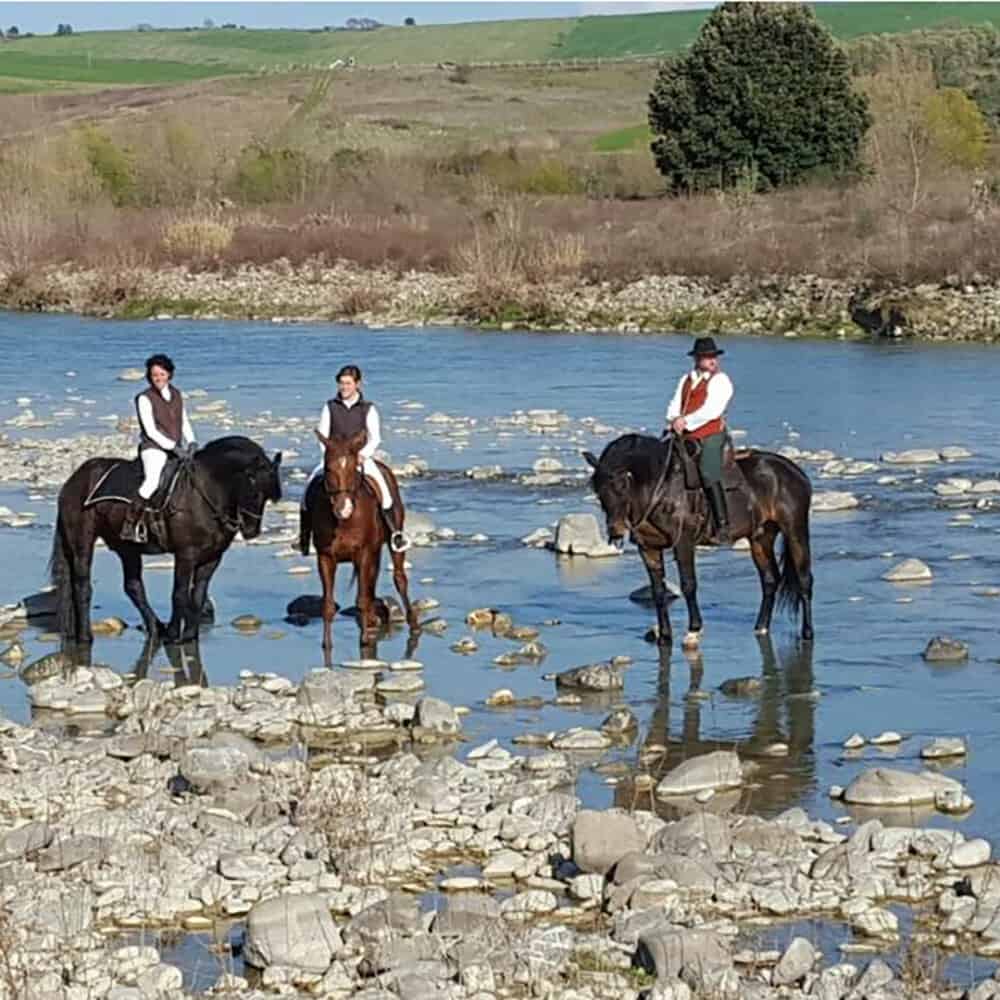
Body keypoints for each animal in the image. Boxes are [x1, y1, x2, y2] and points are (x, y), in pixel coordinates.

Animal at [53, 438, 284, 648]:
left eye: (267, 496)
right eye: (253, 489)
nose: (251, 531)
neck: (205, 492)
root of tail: (75, 479)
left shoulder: (212, 558)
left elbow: (198, 596)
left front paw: (189, 635)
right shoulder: (186, 554)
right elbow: (179, 594)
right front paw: (174, 635)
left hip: (127, 548)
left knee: (133, 586)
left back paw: (156, 628)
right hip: (82, 542)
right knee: (82, 586)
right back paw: (86, 637)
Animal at [302, 432, 416, 656]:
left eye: (354, 467)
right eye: (328, 468)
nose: (343, 508)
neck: (344, 522)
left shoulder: (364, 554)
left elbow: (362, 599)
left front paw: (364, 641)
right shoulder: (326, 558)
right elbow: (328, 605)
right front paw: (327, 645)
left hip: (392, 540)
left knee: (399, 578)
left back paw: (412, 623)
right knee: (371, 584)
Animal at [584, 434, 812, 644]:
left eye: (622, 486)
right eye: (598, 490)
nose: (616, 531)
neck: (660, 490)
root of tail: (795, 472)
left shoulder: (683, 543)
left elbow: (688, 585)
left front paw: (694, 630)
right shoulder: (648, 548)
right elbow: (658, 591)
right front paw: (665, 636)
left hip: (794, 530)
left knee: (804, 580)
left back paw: (807, 633)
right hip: (761, 537)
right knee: (770, 580)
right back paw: (761, 628)